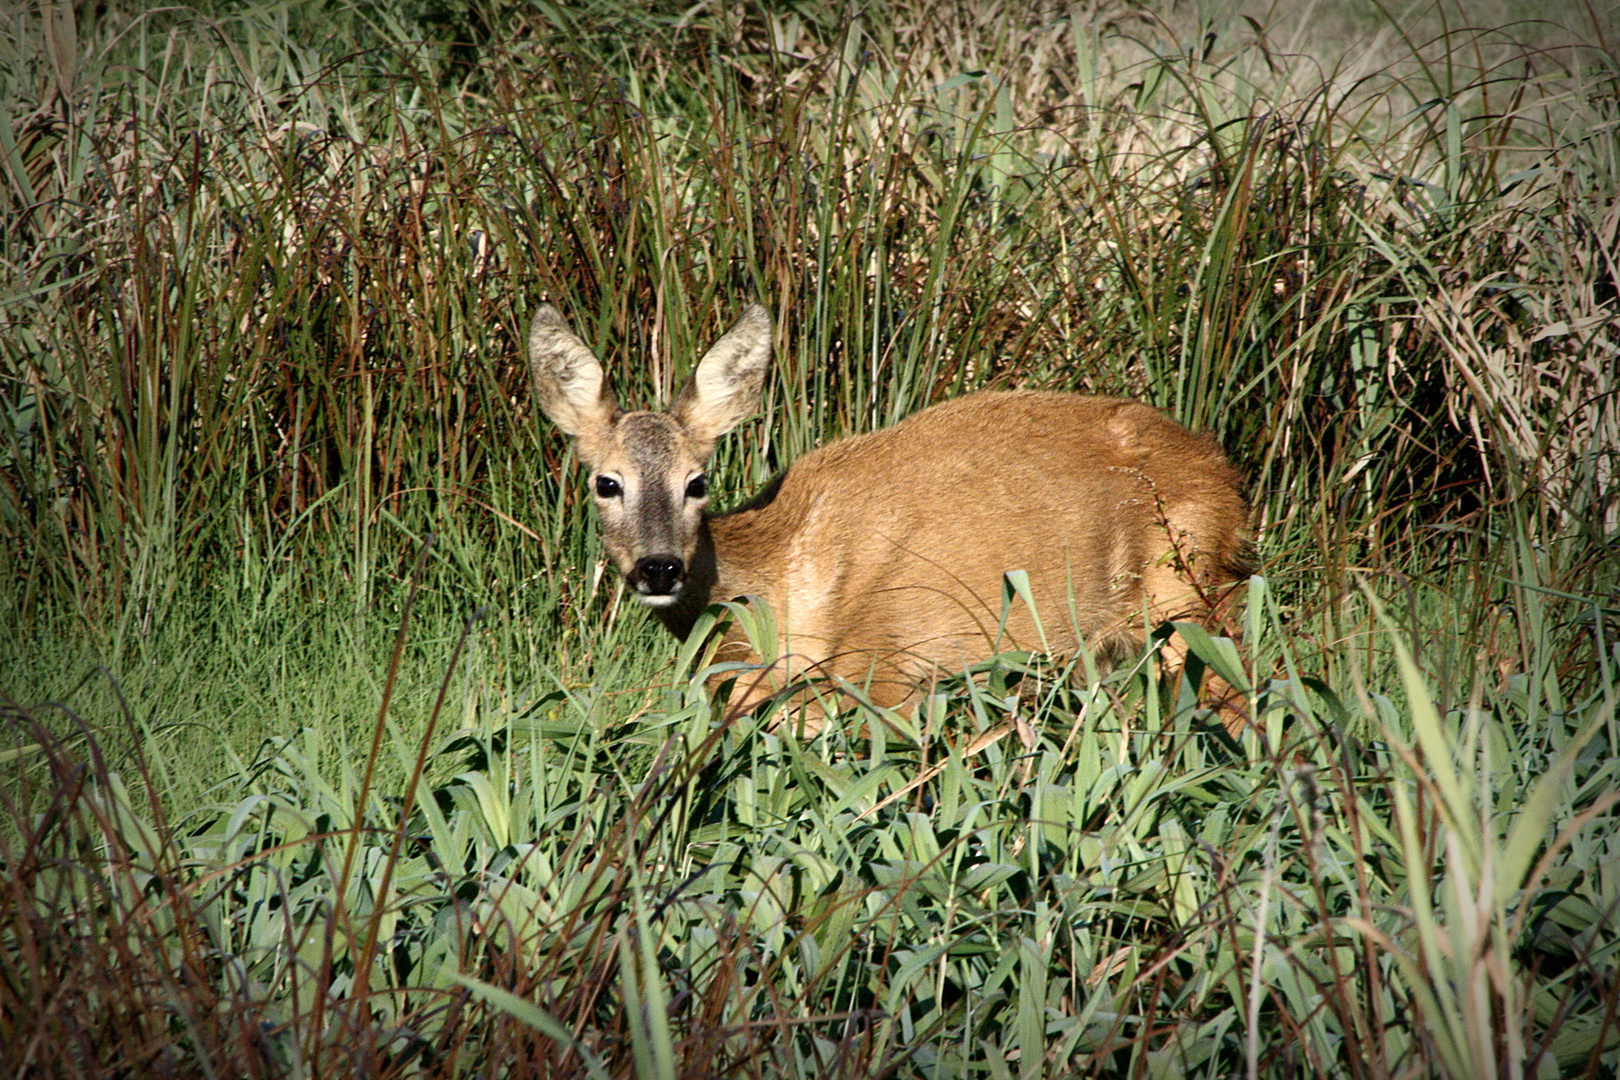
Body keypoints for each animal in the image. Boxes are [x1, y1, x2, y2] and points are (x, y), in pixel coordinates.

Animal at [531, 299, 1250, 731]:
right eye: (606, 483)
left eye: (697, 481)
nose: (659, 568)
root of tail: (1224, 471)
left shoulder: (887, 668)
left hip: (1186, 595)